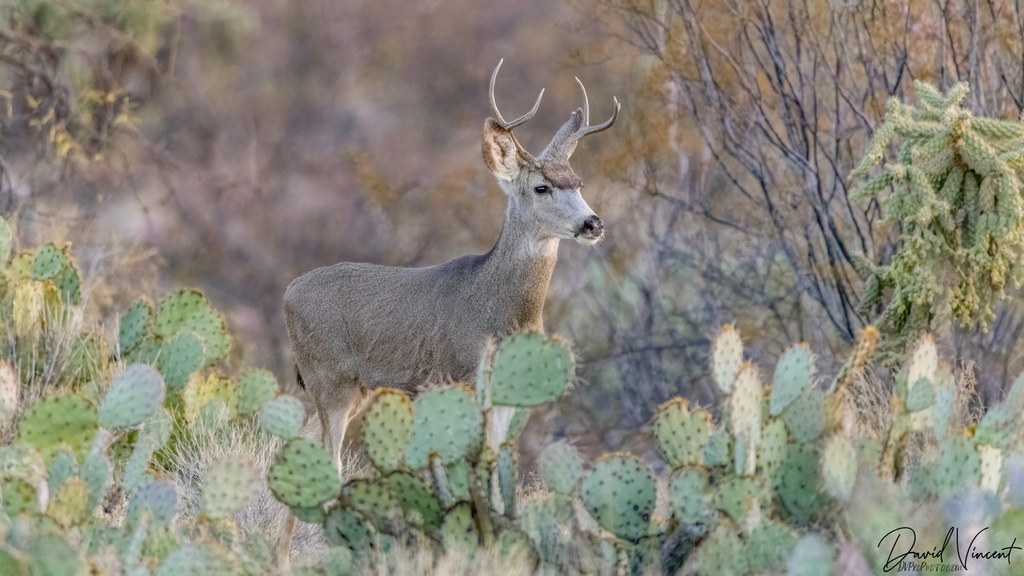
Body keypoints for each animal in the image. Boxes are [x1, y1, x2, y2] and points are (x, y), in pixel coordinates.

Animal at [282, 58, 614, 473]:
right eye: (542, 187)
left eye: (579, 183)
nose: (593, 224)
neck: (501, 312)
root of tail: (287, 294)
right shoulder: (459, 374)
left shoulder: (506, 391)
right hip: (329, 376)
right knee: (328, 457)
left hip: (354, 387)